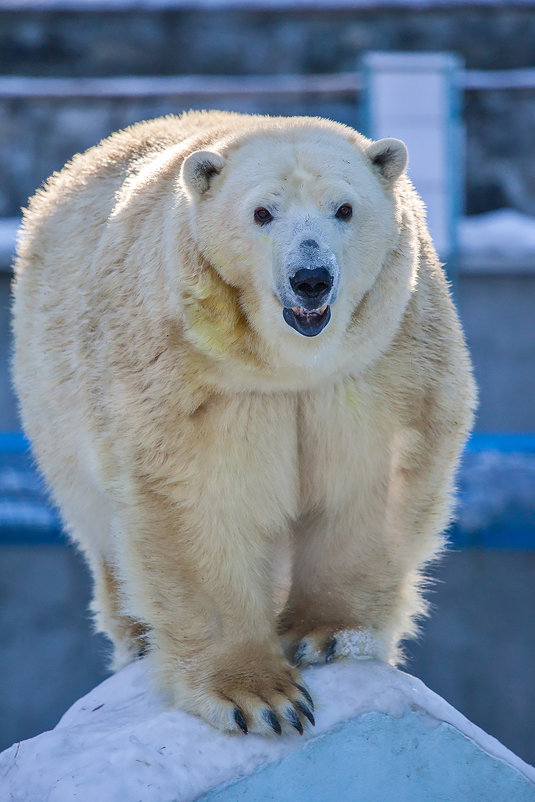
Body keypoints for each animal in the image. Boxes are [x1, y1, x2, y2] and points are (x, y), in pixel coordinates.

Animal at [11, 109, 474, 736]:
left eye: (344, 208)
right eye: (262, 212)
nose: (311, 278)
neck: (289, 365)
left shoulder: (379, 364)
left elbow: (368, 482)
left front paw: (326, 635)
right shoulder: (199, 378)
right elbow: (203, 501)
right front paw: (262, 698)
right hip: (52, 387)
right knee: (95, 515)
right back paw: (137, 636)